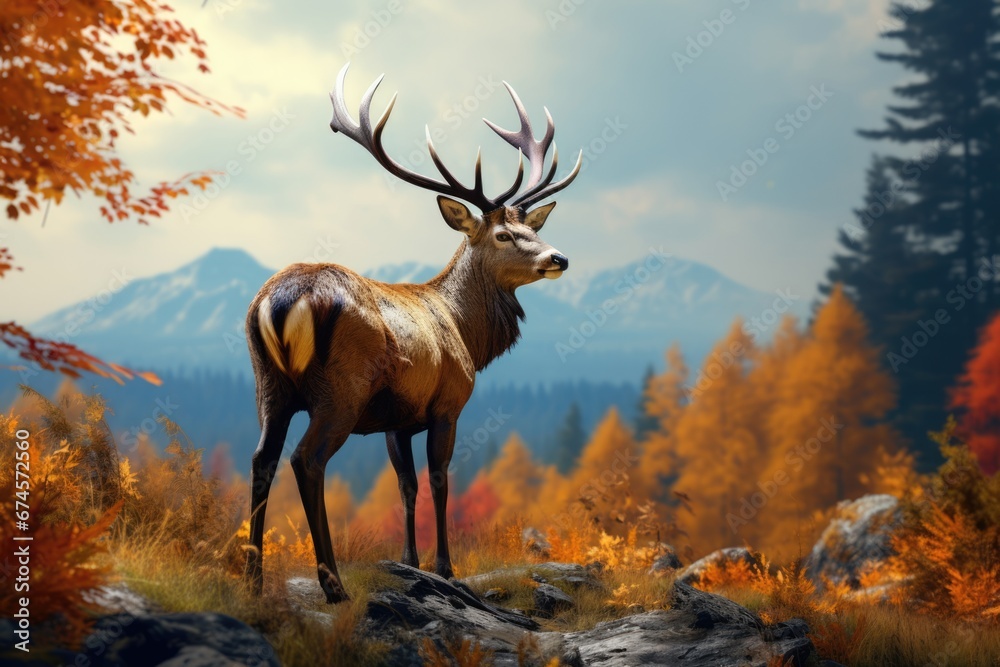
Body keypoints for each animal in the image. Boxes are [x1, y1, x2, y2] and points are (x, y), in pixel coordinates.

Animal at [243, 63, 581, 603]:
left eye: (534, 229)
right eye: (504, 234)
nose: (559, 258)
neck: (466, 332)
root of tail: (280, 302)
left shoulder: (395, 420)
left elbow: (406, 485)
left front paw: (409, 561)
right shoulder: (448, 404)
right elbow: (440, 480)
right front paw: (445, 567)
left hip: (267, 385)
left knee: (263, 459)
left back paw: (252, 579)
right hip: (340, 391)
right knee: (307, 460)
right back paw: (333, 584)